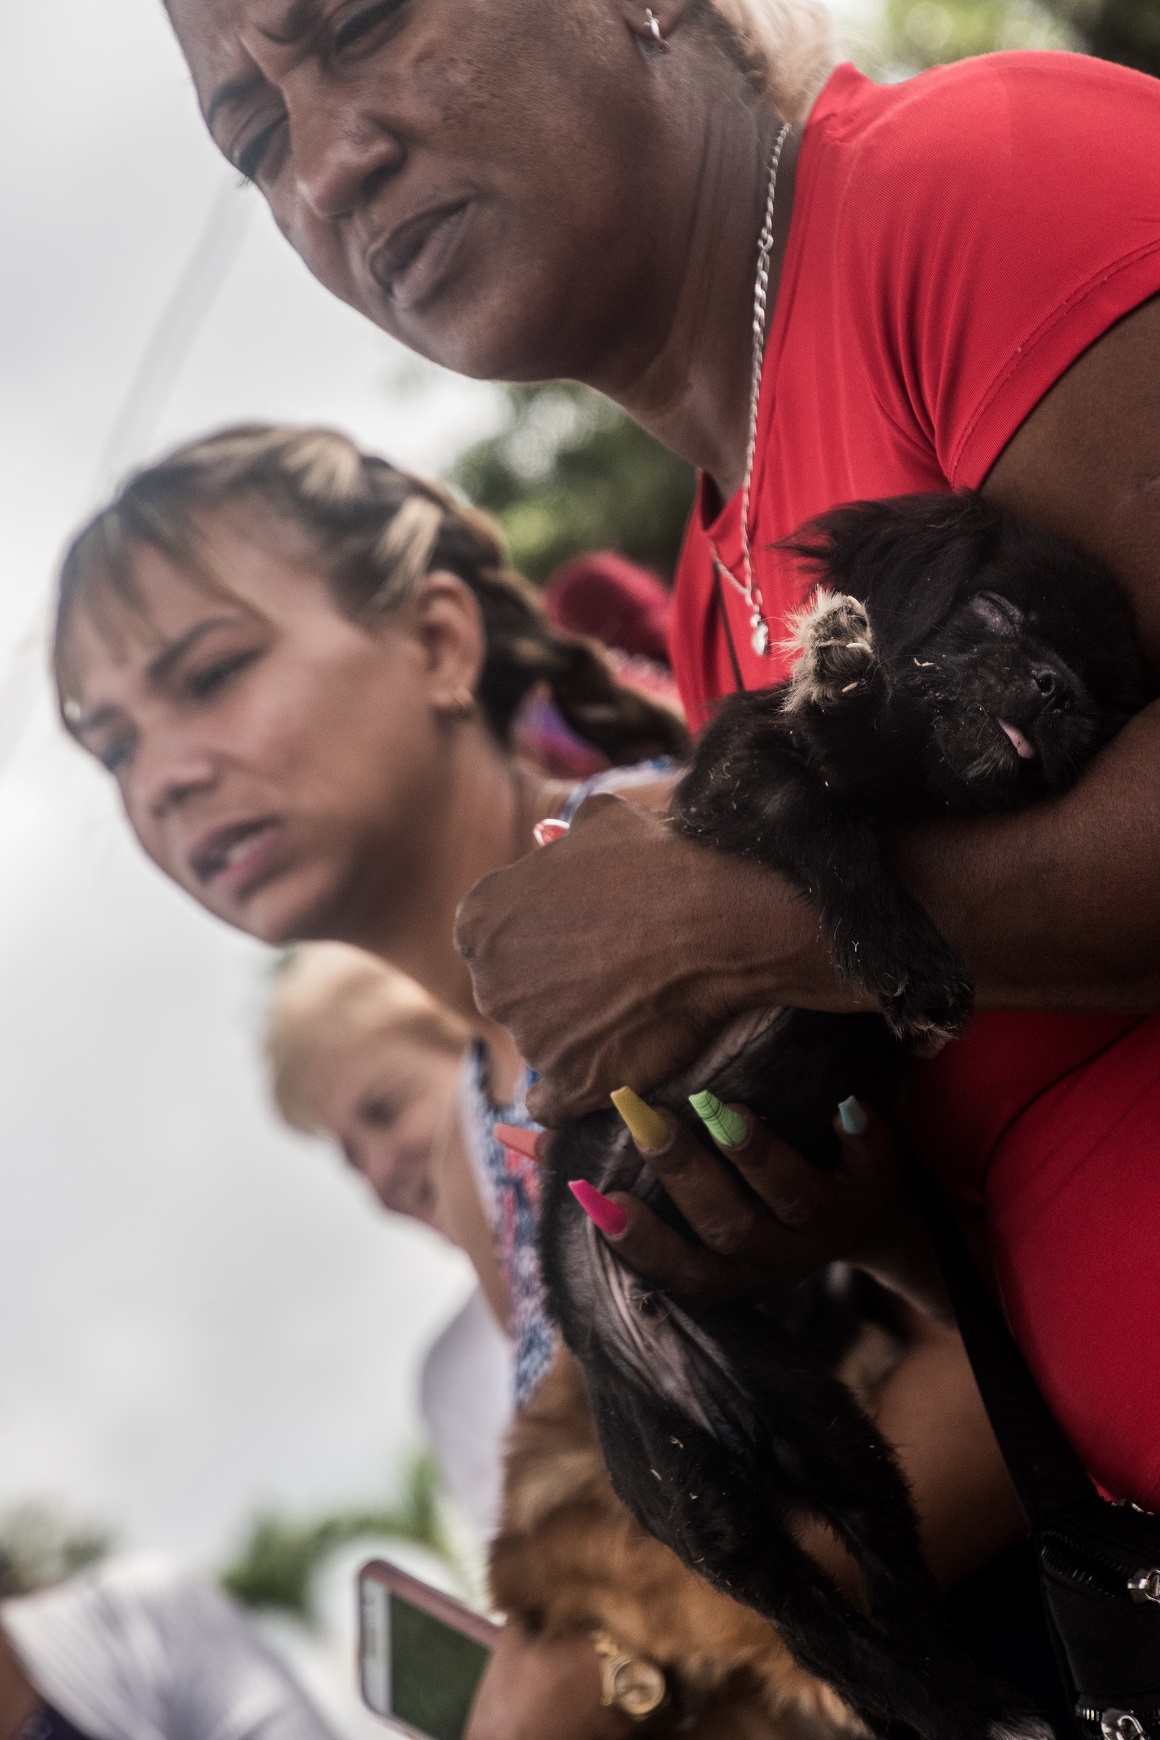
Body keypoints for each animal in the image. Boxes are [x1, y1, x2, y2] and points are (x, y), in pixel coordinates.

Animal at [539, 490, 1154, 1740]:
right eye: (998, 611)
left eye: (1110, 695)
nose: (1055, 688)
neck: (909, 780)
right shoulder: (738, 773)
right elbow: (818, 806)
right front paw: (840, 680)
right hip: (687, 1485)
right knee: (817, 1628)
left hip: (828, 1440)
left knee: (882, 1603)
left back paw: (989, 1708)